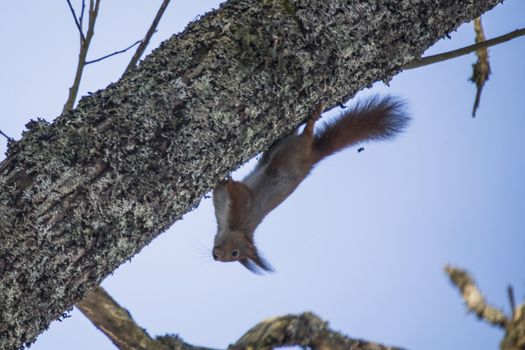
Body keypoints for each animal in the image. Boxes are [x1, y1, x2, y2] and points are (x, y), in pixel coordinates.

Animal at [211, 95, 408, 274]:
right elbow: (218, 191)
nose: (216, 257)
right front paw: (220, 181)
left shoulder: (245, 206)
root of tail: (311, 158)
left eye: (235, 254)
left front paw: (227, 181)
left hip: (293, 152)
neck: (233, 227)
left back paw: (312, 119)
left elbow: (239, 191)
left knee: (307, 135)